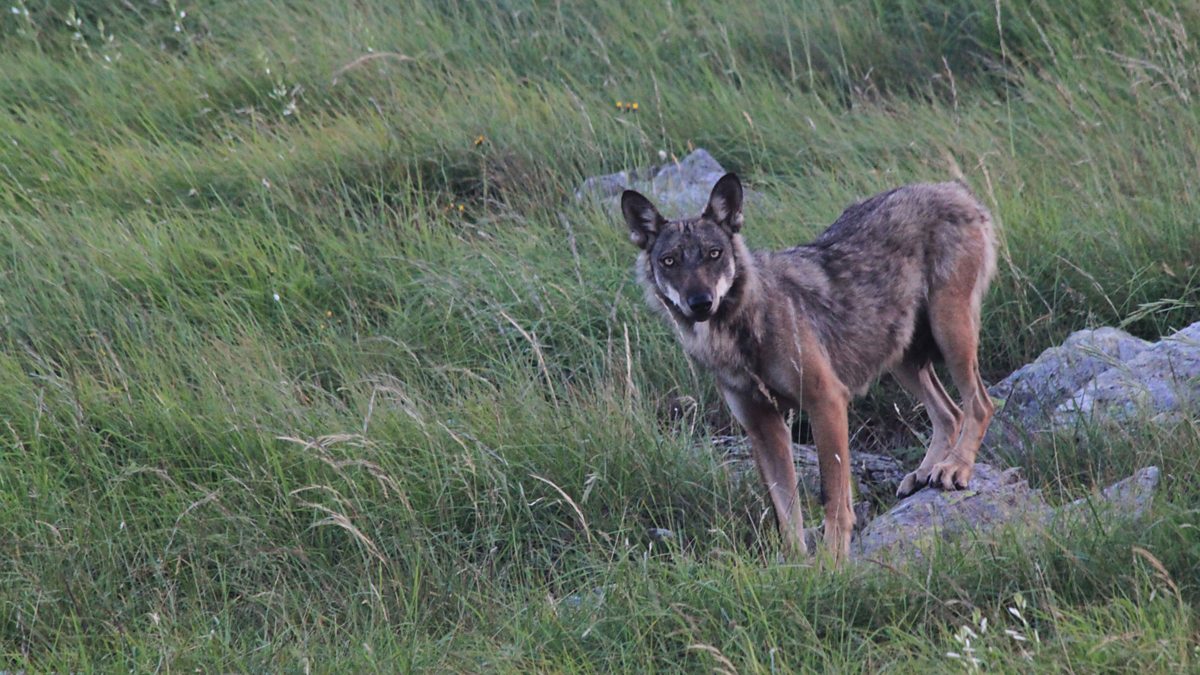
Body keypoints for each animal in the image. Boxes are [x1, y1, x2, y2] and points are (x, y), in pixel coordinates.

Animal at [624, 172, 998, 557]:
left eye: (714, 254)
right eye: (669, 261)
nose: (700, 302)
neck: (741, 333)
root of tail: (953, 188)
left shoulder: (827, 402)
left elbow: (833, 497)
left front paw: (832, 561)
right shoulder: (763, 426)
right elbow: (786, 511)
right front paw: (795, 564)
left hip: (949, 331)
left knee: (980, 404)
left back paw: (954, 469)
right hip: (901, 357)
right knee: (950, 412)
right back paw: (924, 472)